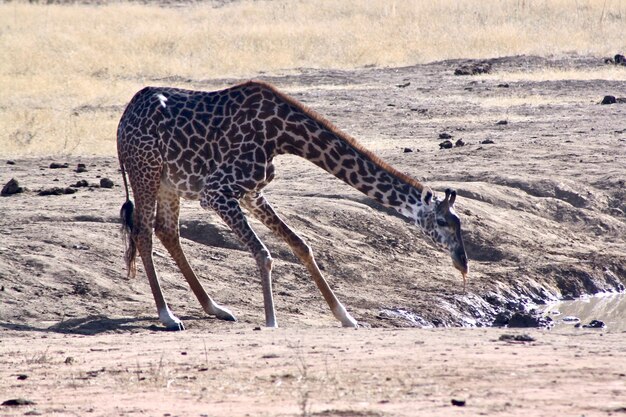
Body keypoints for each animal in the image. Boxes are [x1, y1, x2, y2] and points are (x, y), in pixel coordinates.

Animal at [118, 80, 468, 328]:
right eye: (443, 223)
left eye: (459, 223)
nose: (463, 263)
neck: (282, 134)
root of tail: (122, 121)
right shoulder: (217, 192)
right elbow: (264, 254)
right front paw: (271, 322)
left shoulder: (251, 193)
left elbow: (301, 246)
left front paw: (346, 317)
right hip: (146, 171)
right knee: (144, 234)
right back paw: (168, 316)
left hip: (169, 182)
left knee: (167, 232)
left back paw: (215, 308)